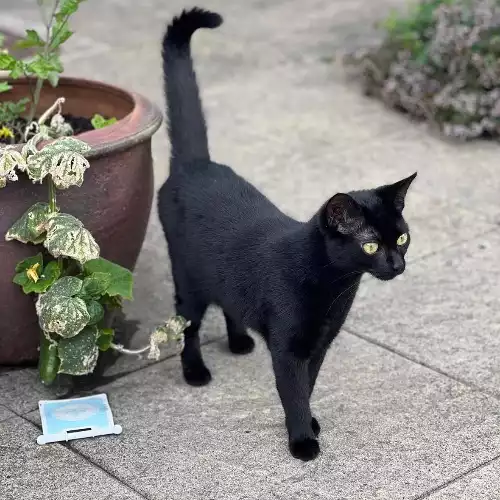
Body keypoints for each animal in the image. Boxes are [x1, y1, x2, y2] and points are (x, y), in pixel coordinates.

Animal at [159, 7, 414, 460]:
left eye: (401, 239)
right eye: (370, 244)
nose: (397, 264)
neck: (334, 286)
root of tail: (196, 164)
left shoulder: (320, 342)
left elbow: (307, 386)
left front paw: (309, 423)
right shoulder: (289, 347)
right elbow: (293, 390)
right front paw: (302, 441)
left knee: (230, 301)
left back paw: (239, 341)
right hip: (187, 277)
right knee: (188, 323)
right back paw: (195, 370)